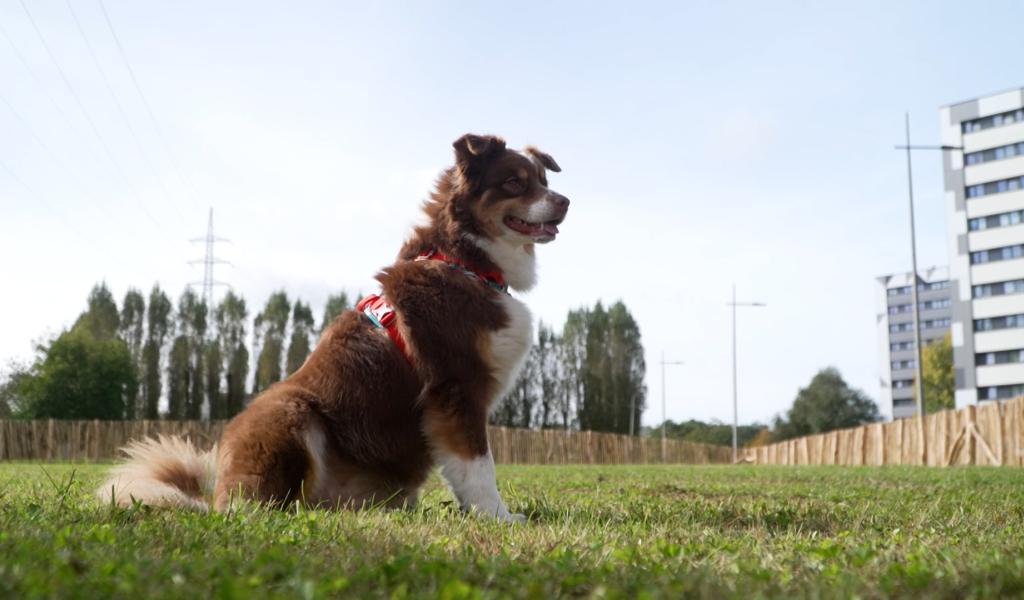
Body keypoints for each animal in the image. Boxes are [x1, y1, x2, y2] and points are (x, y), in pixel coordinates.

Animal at [97, 134, 569, 518]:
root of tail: (215, 499)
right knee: (264, 504)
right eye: (514, 182)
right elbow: (478, 467)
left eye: (544, 179)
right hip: (289, 411)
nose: (565, 201)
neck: (466, 260)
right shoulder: (455, 388)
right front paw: (498, 517)